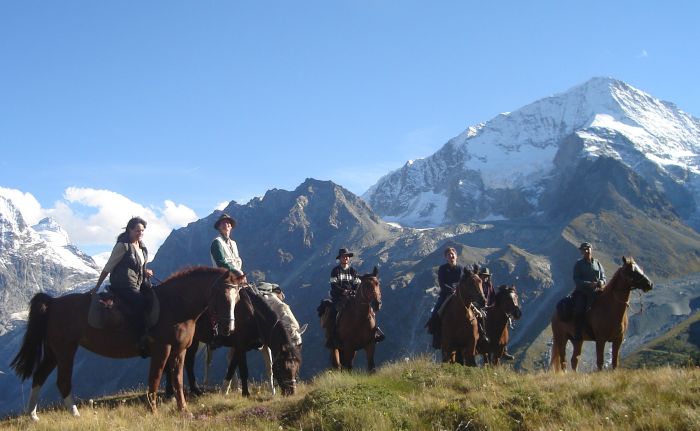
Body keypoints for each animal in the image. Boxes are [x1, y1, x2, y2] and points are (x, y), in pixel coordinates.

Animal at [9, 266, 241, 422]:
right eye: (222, 295)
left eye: (237, 297)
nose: (228, 329)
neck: (175, 305)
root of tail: (54, 302)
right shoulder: (162, 349)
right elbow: (155, 378)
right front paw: (153, 411)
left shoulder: (180, 350)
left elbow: (177, 380)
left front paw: (183, 410)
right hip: (66, 350)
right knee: (62, 381)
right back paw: (74, 413)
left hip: (53, 351)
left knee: (39, 376)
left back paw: (32, 416)